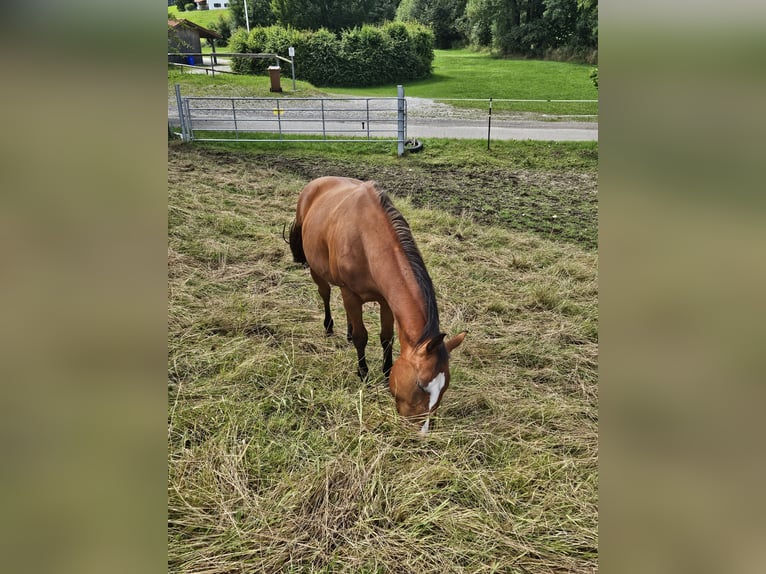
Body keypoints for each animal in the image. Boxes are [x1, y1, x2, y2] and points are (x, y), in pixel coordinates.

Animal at [288, 176, 465, 433]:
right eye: (420, 386)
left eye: (445, 386)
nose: (420, 432)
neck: (366, 240)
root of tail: (314, 184)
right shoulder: (350, 294)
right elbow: (362, 336)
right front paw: (363, 374)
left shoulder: (386, 300)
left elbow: (386, 338)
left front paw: (386, 373)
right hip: (317, 270)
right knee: (325, 294)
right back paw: (329, 327)